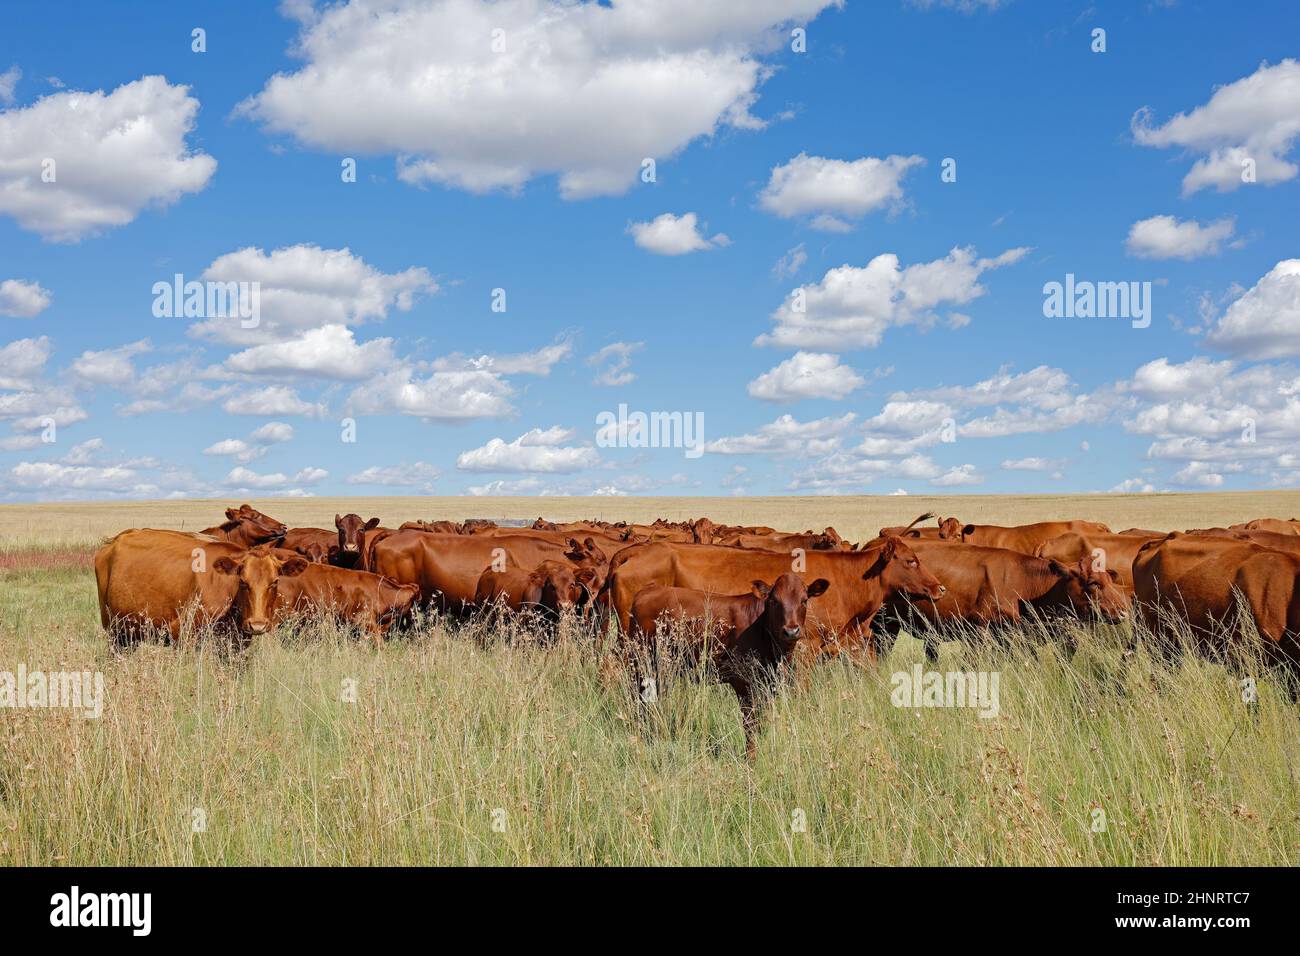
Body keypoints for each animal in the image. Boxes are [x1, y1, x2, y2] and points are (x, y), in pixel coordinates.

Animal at [95, 530, 306, 646]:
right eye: (243, 581)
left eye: (275, 581)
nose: (257, 625)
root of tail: (114, 541)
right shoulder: (182, 634)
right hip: (113, 630)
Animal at [628, 574, 831, 760]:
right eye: (774, 601)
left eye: (804, 600)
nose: (791, 631)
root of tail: (646, 591)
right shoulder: (744, 683)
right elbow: (750, 724)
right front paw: (750, 759)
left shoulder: (768, 684)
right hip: (639, 662)